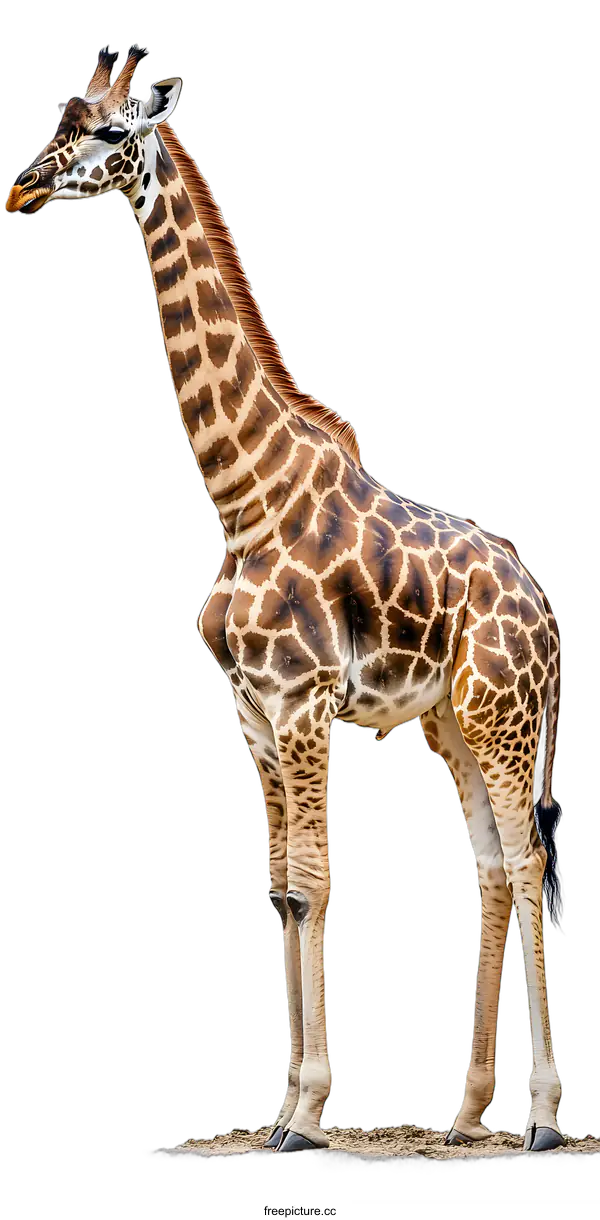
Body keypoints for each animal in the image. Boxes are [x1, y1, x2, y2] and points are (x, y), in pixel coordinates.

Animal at [5, 46, 566, 1155]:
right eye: (60, 118)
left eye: (105, 133)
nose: (19, 188)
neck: (242, 491)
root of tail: (550, 611)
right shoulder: (253, 712)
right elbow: (279, 891)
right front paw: (277, 1110)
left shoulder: (305, 702)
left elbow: (314, 881)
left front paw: (305, 1115)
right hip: (450, 722)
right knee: (487, 864)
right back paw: (464, 1111)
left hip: (505, 715)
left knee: (526, 863)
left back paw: (543, 1117)